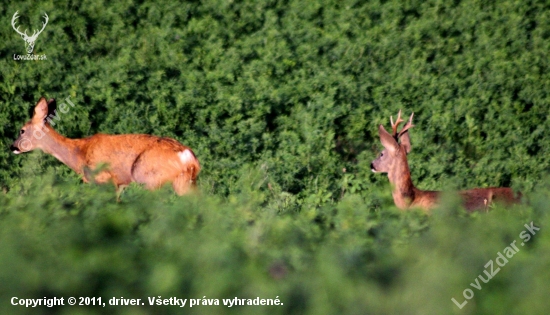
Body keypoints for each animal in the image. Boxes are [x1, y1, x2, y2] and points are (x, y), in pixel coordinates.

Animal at [10, 97, 201, 200]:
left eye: (22, 130)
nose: (12, 147)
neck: (79, 154)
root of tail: (188, 157)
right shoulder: (121, 183)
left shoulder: (106, 179)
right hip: (185, 182)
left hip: (150, 178)